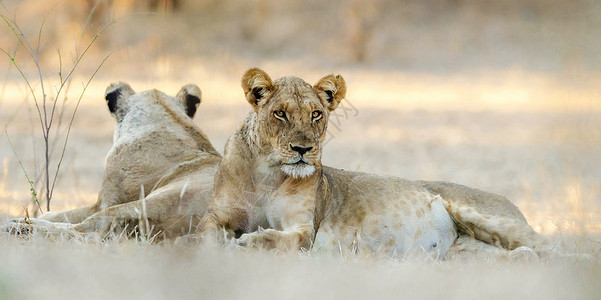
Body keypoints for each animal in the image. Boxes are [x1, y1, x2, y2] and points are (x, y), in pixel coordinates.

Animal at [199, 68, 552, 258]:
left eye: (316, 114)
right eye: (280, 113)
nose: (303, 149)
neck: (268, 174)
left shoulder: (304, 230)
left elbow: (278, 238)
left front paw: (249, 242)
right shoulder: (216, 217)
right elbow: (205, 236)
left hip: (486, 217)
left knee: (549, 246)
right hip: (466, 253)